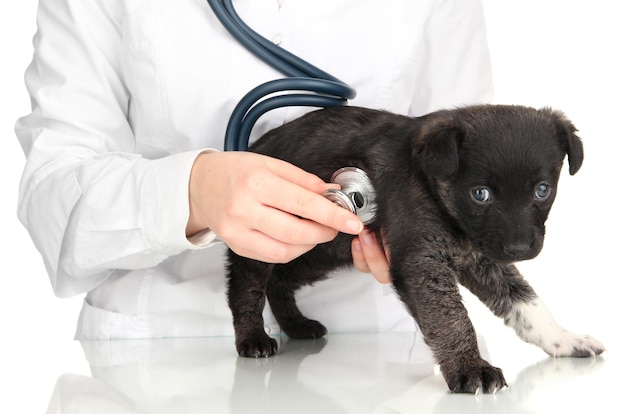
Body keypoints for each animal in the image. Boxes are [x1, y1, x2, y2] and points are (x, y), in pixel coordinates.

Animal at [223, 105, 600, 392]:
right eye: (480, 194)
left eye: (542, 190)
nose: (519, 249)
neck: (434, 188)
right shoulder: (422, 262)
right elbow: (451, 319)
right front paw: (470, 368)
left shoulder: (483, 257)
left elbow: (528, 305)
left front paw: (563, 340)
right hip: (269, 235)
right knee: (246, 283)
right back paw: (253, 338)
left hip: (316, 249)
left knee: (280, 280)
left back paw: (297, 325)